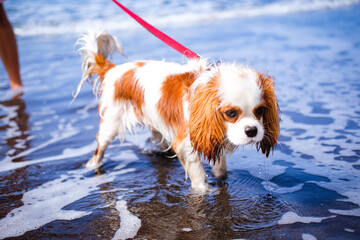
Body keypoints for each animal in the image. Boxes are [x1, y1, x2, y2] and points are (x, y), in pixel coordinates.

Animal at [74, 30, 280, 191]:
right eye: (231, 113)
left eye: (260, 110)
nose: (252, 131)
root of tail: (113, 69)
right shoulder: (186, 144)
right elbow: (199, 177)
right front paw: (204, 191)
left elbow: (220, 169)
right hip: (111, 124)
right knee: (99, 148)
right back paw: (92, 166)